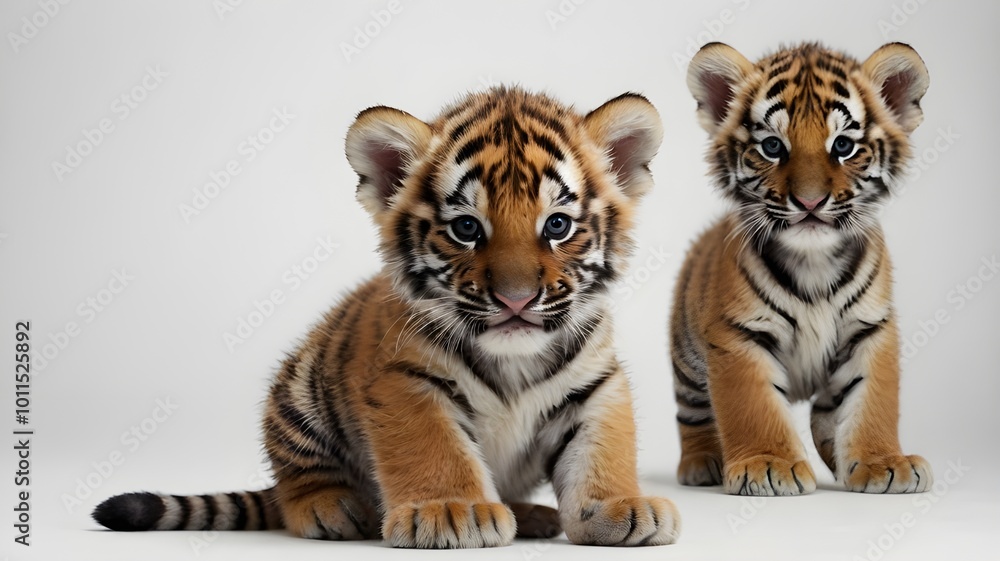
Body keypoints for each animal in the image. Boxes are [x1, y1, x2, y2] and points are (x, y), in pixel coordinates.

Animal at [92, 86, 680, 548]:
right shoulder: (407, 381)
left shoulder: (596, 384)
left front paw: (617, 507)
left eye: (557, 225)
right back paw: (333, 507)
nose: (516, 300)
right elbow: (436, 447)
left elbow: (601, 450)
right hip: (298, 394)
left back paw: (531, 515)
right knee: (296, 480)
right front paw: (453, 511)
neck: (512, 358)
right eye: (466, 228)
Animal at [670, 42, 933, 496]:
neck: (814, 262)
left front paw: (883, 463)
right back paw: (702, 464)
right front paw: (767, 465)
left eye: (843, 145)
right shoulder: (739, 335)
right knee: (693, 413)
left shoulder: (869, 329)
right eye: (773, 147)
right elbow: (752, 405)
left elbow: (872, 401)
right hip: (687, 363)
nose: (810, 203)